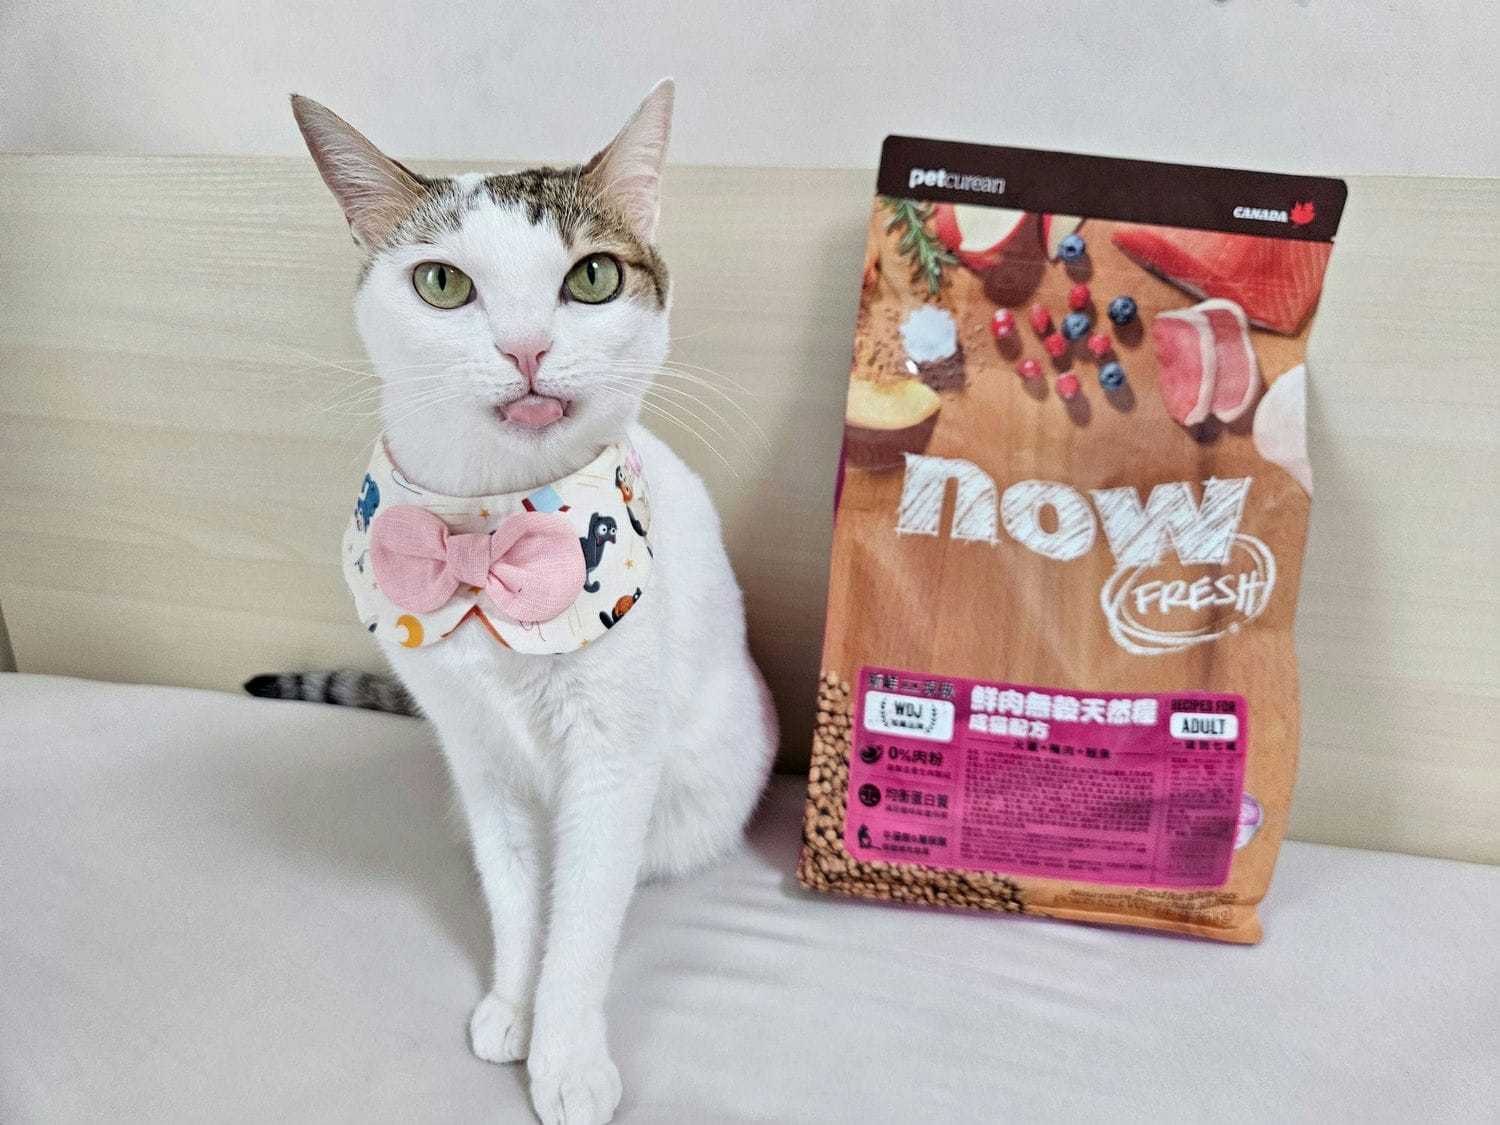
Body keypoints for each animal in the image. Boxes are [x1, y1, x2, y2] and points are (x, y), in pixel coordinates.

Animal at [280, 81, 777, 1125]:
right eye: (440, 283)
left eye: (592, 277)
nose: (526, 347)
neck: (491, 527)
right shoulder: (478, 759)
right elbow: (518, 899)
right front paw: (514, 1002)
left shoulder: (613, 763)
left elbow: (581, 922)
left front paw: (567, 1054)